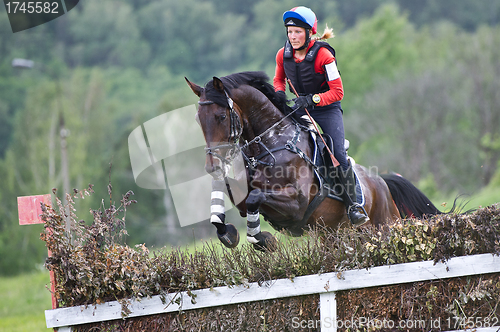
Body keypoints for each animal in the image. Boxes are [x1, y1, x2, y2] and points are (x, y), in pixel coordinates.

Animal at [187, 72, 442, 249]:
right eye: (198, 120)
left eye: (221, 116)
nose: (212, 167)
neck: (272, 142)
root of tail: (382, 184)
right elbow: (235, 199)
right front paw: (229, 233)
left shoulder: (297, 205)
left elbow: (255, 198)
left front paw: (264, 240)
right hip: (336, 237)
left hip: (385, 227)